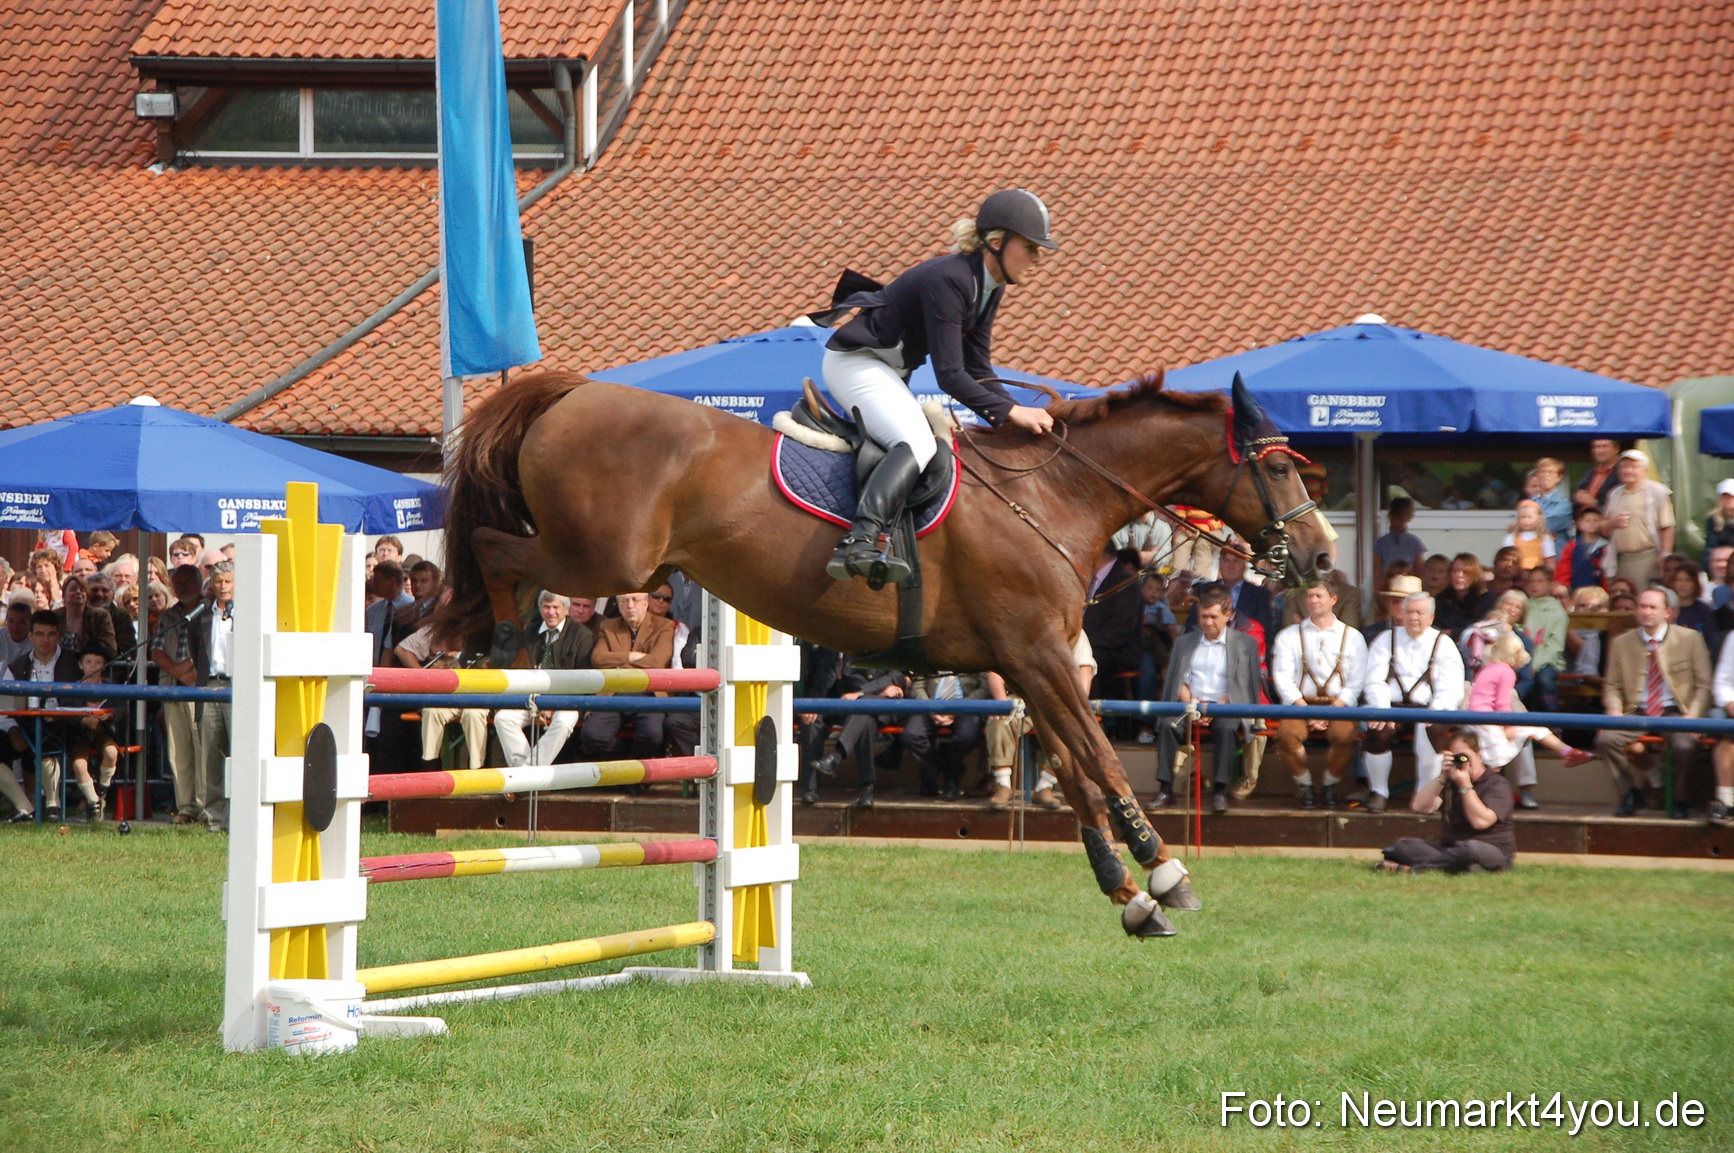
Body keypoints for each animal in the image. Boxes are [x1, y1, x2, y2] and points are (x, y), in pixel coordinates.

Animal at [438, 369, 1336, 938]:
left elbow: (1076, 769)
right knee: (493, 546)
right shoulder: (1040, 655)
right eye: (1279, 466)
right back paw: (504, 637)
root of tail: (572, 392)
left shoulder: (1029, 663)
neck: (1053, 495)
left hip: (631, 568)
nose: (1323, 557)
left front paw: (1127, 892)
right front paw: (1163, 870)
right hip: (606, 559)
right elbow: (1102, 758)